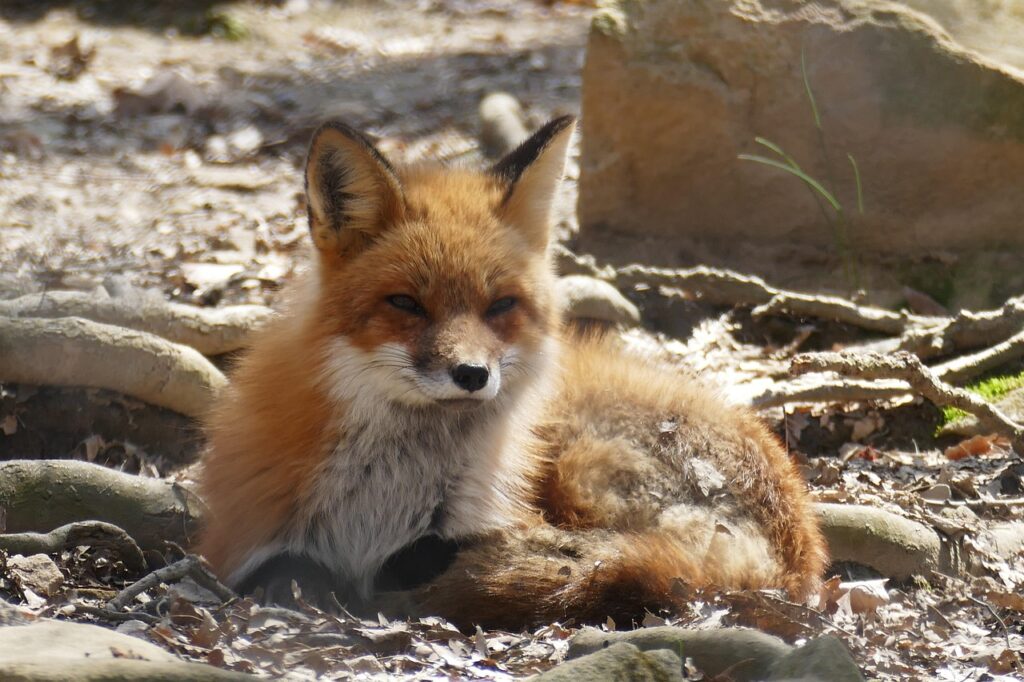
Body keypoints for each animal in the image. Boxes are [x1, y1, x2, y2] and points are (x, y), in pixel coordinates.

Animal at [198, 115, 827, 630]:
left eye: (499, 305)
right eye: (406, 304)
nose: (472, 373)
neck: (390, 492)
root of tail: (800, 550)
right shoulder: (249, 536)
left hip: (580, 466)